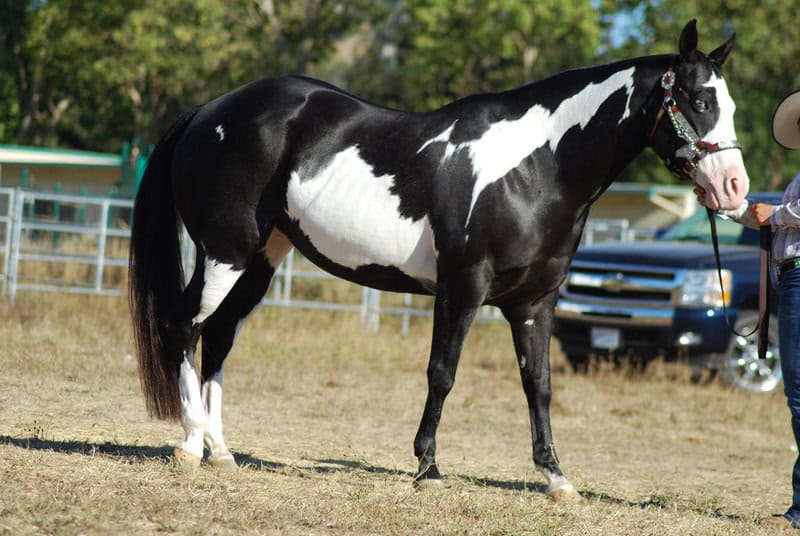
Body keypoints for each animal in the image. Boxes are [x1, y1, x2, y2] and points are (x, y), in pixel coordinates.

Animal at [129, 20, 749, 499]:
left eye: (731, 105)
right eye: (697, 100)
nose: (734, 188)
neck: (538, 167)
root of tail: (211, 109)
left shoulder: (535, 301)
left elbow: (539, 384)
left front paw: (555, 477)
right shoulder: (462, 286)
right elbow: (442, 373)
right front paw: (428, 467)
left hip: (260, 258)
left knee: (219, 335)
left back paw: (221, 451)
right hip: (224, 253)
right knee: (184, 325)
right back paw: (190, 444)